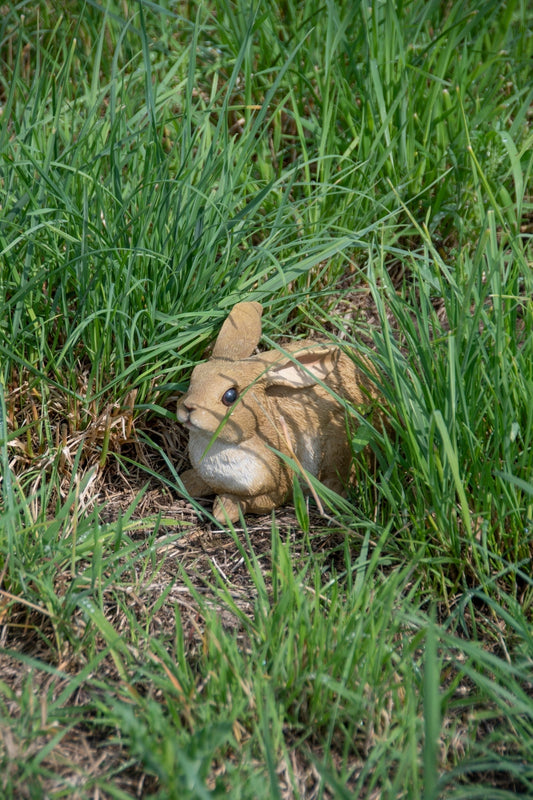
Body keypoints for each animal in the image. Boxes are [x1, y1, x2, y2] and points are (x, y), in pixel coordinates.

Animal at [176, 301, 382, 523]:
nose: (187, 408)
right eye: (195, 374)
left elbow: (256, 501)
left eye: (230, 396)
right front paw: (186, 482)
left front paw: (224, 510)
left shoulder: (278, 486)